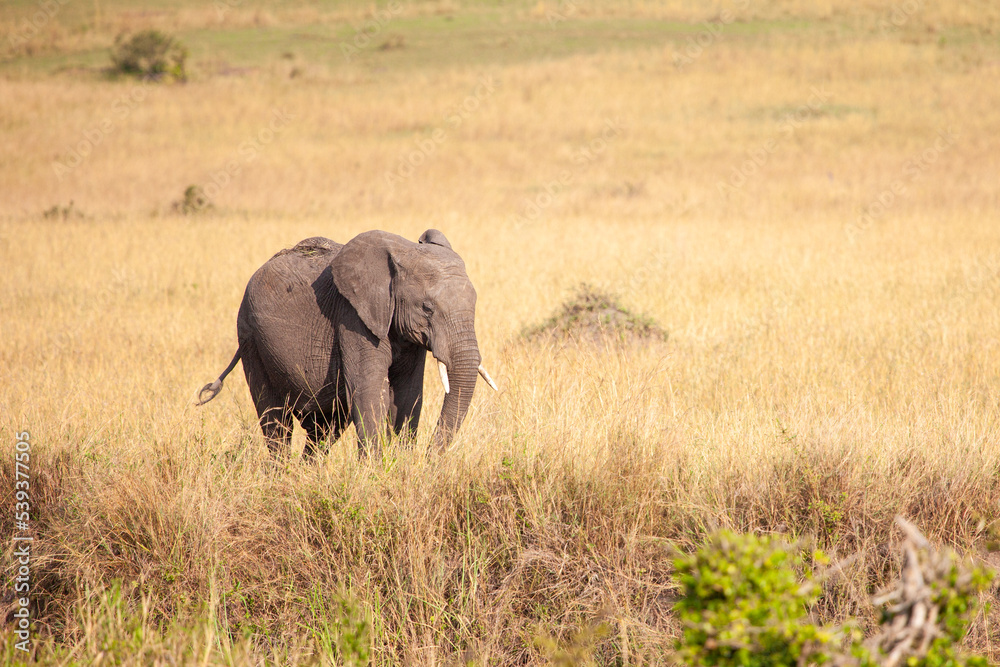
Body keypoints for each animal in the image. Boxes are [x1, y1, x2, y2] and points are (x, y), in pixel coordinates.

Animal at [196, 231, 496, 460]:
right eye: (427, 308)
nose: (429, 459)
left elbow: (408, 395)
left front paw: (401, 466)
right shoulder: (352, 317)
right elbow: (369, 392)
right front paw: (377, 474)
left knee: (325, 430)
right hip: (251, 338)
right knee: (275, 422)